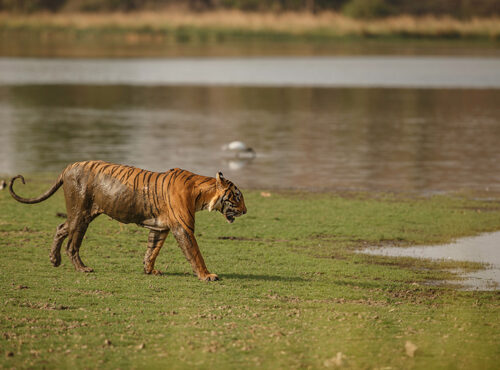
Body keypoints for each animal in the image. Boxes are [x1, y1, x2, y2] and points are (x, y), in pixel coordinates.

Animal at [8, 160, 247, 282]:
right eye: (237, 197)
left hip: (83, 214)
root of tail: (68, 166)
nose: (245, 211)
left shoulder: (160, 228)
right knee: (72, 244)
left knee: (60, 227)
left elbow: (152, 251)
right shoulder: (183, 228)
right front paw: (207, 275)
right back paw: (82, 269)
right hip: (80, 214)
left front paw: (150, 270)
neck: (202, 194)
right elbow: (195, 253)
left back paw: (54, 260)